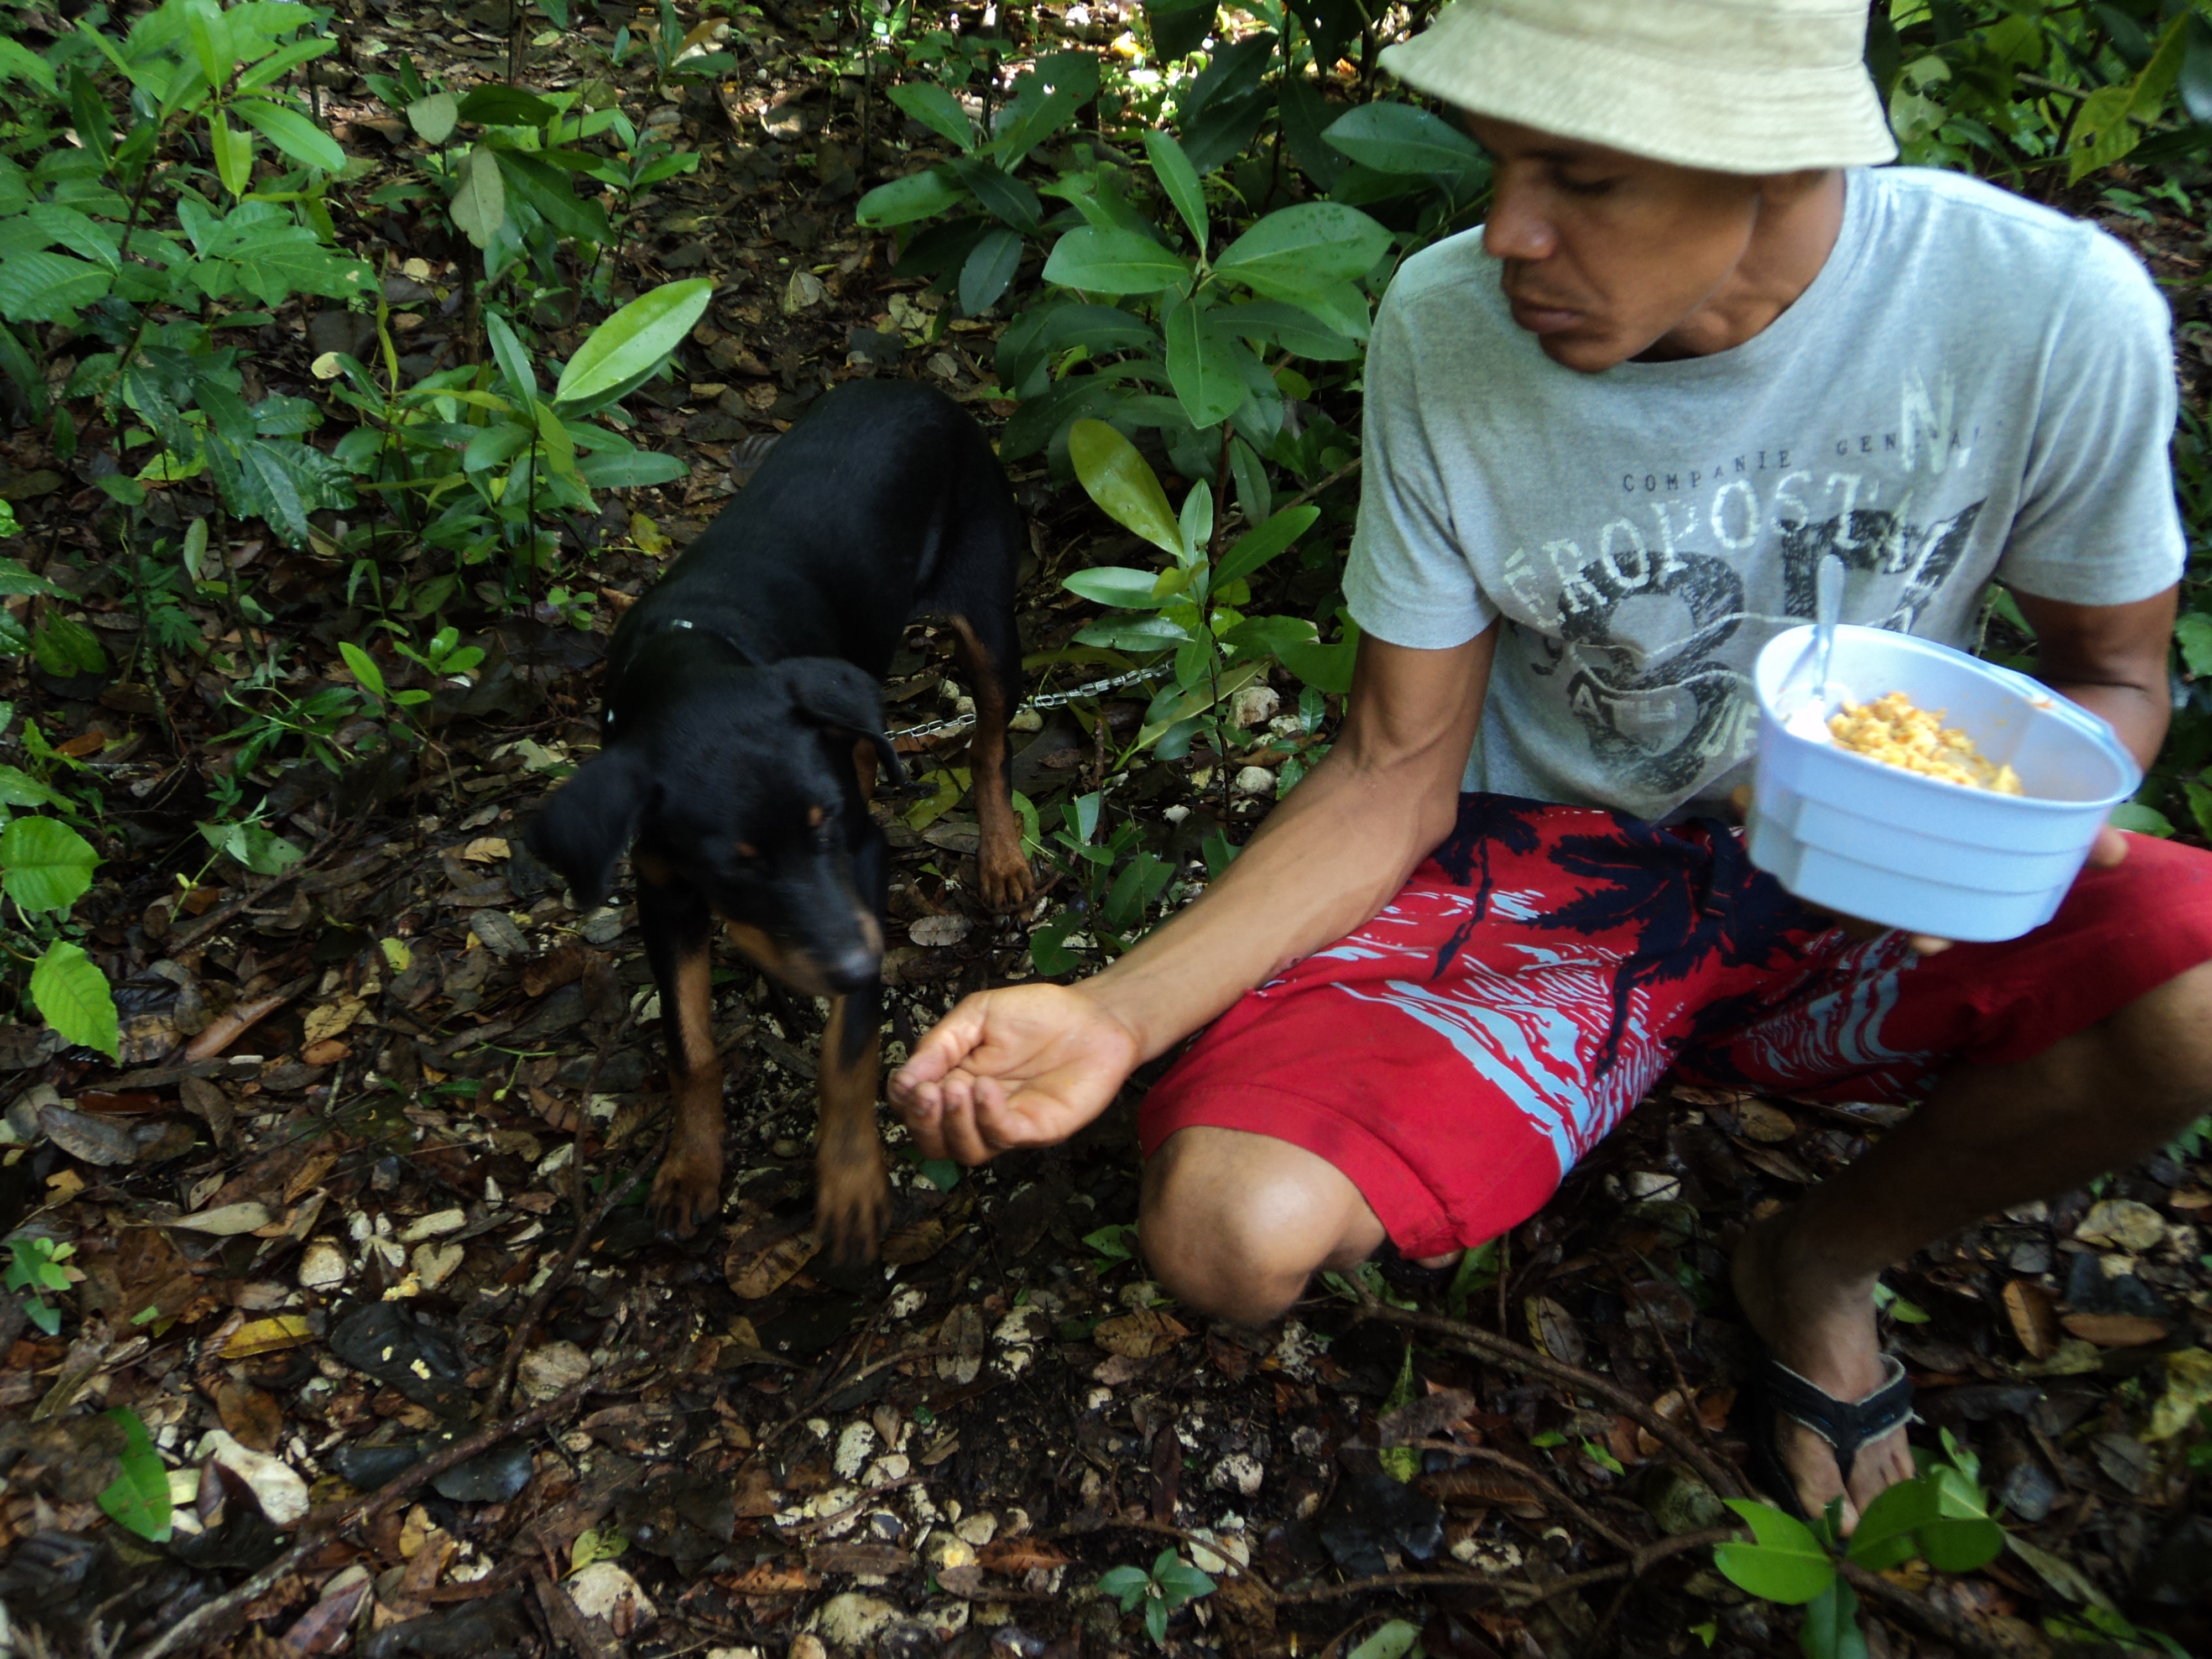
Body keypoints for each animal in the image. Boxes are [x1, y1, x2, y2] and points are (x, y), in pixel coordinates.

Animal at [527, 379, 1034, 1253]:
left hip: (986, 611)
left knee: (990, 741)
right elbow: (690, 1046)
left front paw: (852, 1181)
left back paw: (1000, 855)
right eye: (733, 865)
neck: (693, 658)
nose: (861, 966)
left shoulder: (860, 857)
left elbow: (847, 1050)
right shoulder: (664, 893)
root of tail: (910, 384)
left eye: (823, 832)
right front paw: (690, 1167)